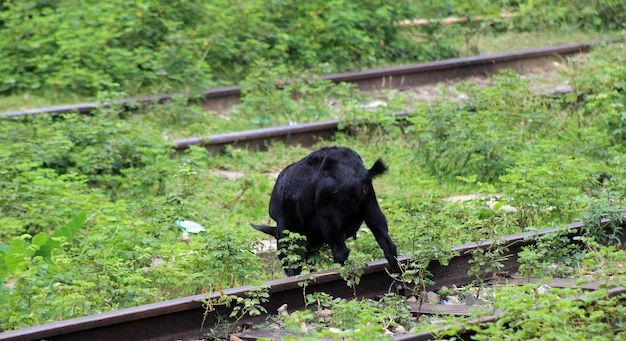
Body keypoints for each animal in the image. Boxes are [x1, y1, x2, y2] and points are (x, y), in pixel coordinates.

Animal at [250, 145, 400, 286]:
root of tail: (361, 174)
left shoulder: (285, 226)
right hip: (371, 208)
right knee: (389, 246)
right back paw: (399, 285)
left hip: (331, 223)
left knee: (342, 255)